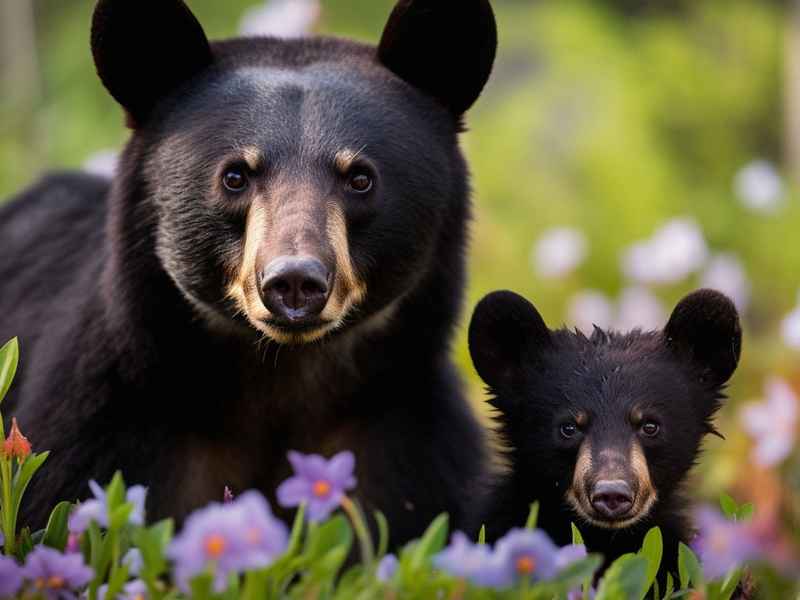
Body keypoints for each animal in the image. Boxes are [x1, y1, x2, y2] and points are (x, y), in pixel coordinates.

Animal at [0, 0, 497, 546]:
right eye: (235, 176)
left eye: (361, 178)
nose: (295, 282)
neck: (280, 375)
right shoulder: (106, 427)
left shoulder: (405, 444)